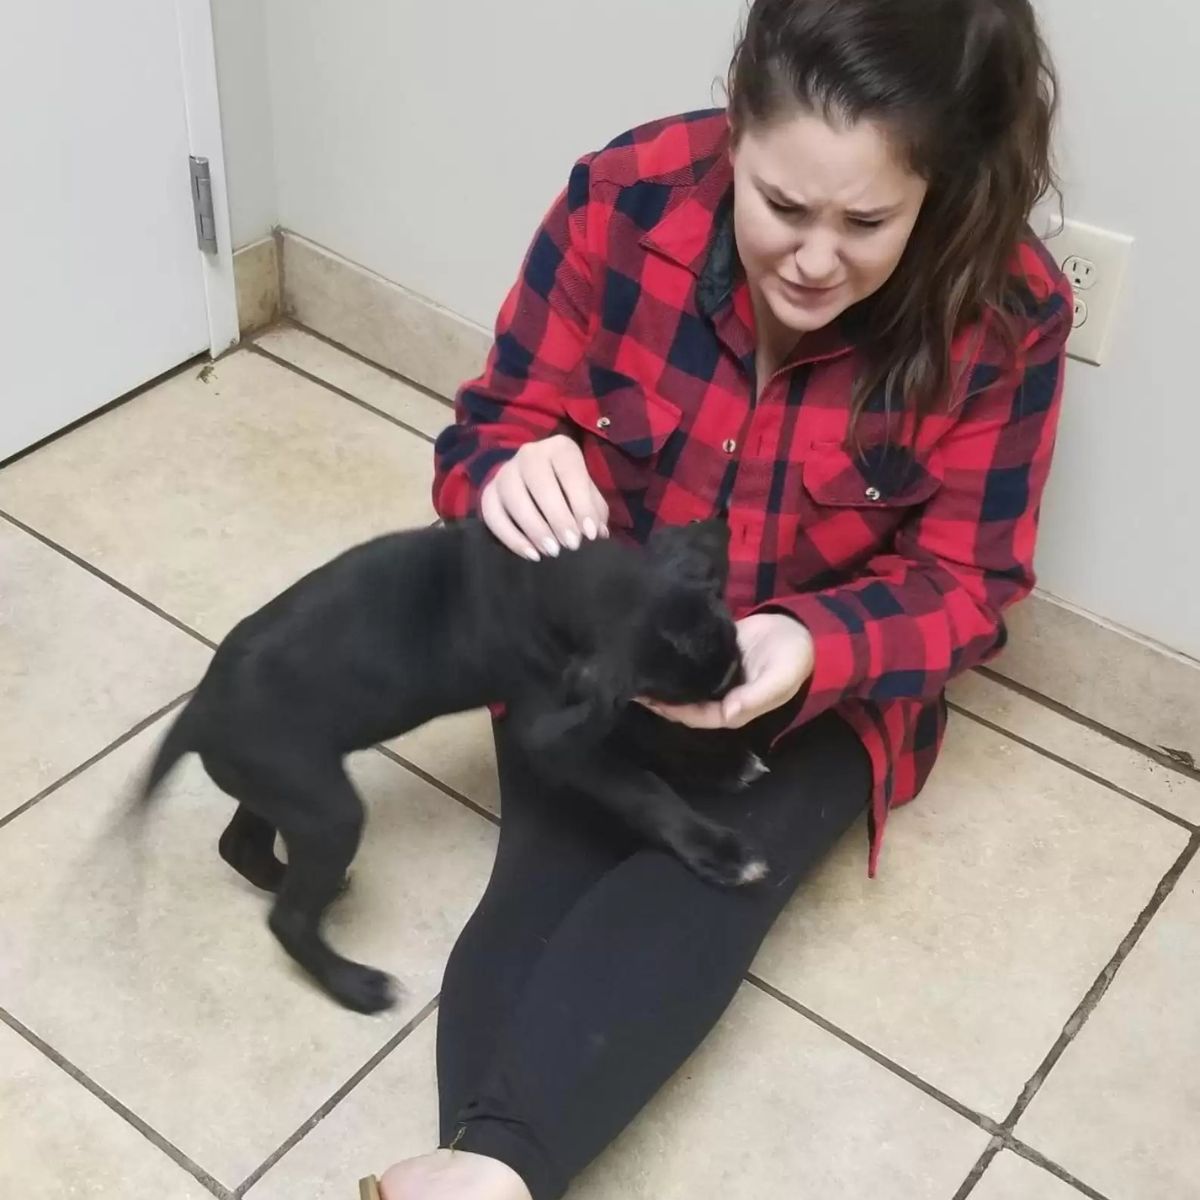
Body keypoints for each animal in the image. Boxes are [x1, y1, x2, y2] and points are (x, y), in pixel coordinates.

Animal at [138, 518, 758, 1012]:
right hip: (327, 810)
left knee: (240, 845)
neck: (552, 580)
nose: (746, 696)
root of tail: (198, 710)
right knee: (285, 918)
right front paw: (720, 849)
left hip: (286, 790)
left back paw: (293, 882)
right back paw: (355, 986)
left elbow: (649, 733)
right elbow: (641, 784)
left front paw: (723, 764)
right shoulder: (551, 737)